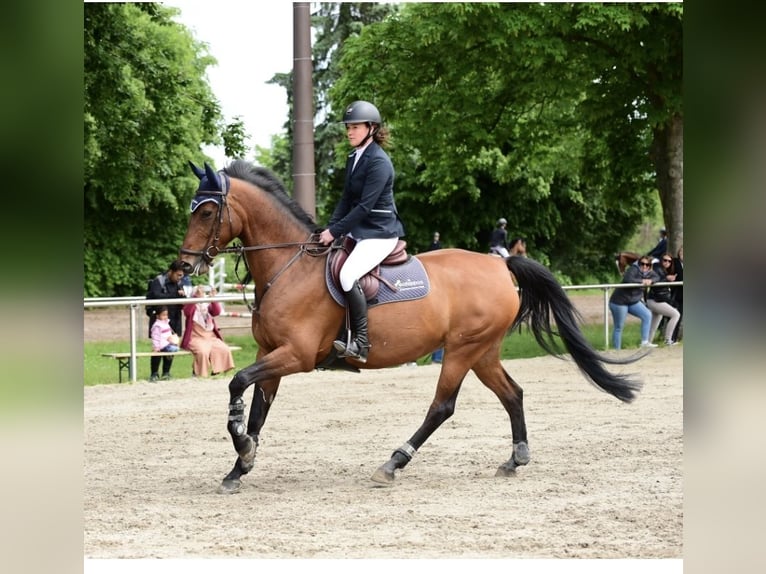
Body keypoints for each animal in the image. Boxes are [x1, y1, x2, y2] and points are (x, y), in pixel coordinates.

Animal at [182, 162, 648, 496]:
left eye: (207, 210)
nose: (184, 266)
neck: (289, 267)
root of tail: (499, 266)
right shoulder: (271, 355)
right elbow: (258, 409)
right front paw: (239, 467)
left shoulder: (295, 355)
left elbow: (237, 384)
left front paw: (242, 448)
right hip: (483, 351)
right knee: (512, 394)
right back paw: (515, 459)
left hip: (461, 350)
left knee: (442, 407)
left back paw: (392, 464)